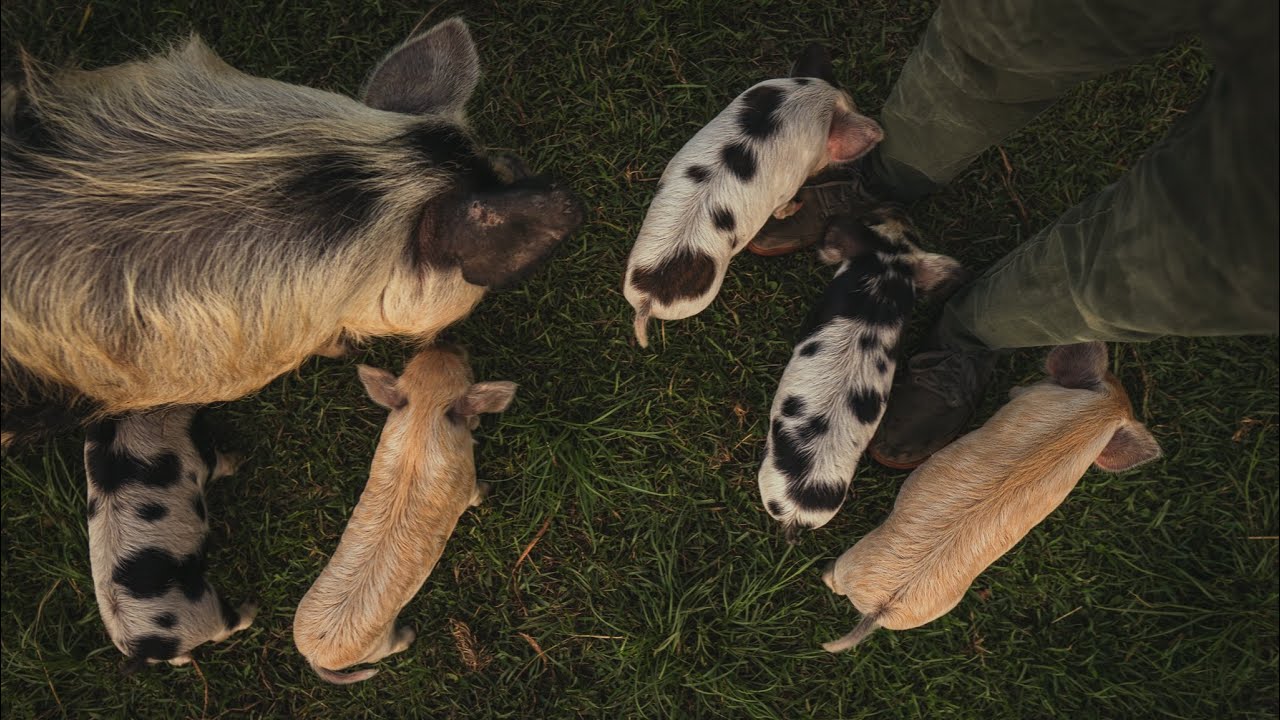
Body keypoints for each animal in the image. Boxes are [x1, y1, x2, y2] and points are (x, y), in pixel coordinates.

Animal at [84, 407, 256, 670]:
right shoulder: (197, 453)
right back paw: (253, 605)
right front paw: (238, 459)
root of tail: (142, 648)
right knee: (227, 627)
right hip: (203, 610)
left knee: (179, 660)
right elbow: (217, 464)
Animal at [293, 346, 516, 684]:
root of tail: (315, 656)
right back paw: (410, 633)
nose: (446, 342)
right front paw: (490, 487)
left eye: (413, 361)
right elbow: (476, 494)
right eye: (466, 371)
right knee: (394, 647)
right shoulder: (466, 484)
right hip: (378, 647)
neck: (422, 418)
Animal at [822, 341, 1162, 652]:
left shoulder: (1036, 392)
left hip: (855, 566)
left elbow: (1019, 391)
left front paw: (1011, 387)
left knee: (833, 582)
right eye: (1114, 381)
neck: (1102, 415)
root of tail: (881, 606)